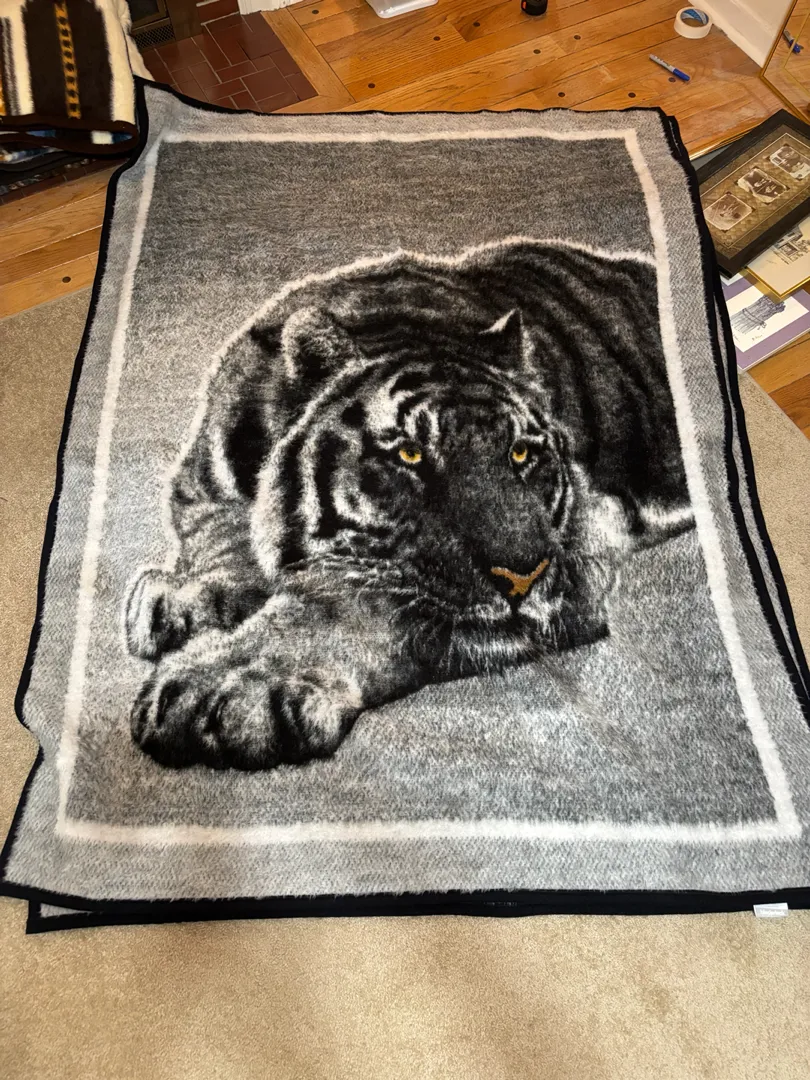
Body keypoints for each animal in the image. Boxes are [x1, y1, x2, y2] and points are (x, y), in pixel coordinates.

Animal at [125, 238, 694, 770]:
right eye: (409, 454)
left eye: (520, 452)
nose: (523, 576)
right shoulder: (205, 486)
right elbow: (218, 532)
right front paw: (181, 598)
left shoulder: (581, 558)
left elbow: (353, 602)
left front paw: (224, 686)